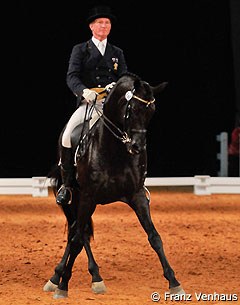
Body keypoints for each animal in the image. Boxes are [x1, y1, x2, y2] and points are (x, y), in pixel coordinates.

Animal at [43, 72, 186, 298]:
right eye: (132, 109)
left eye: (152, 112)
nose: (137, 147)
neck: (114, 150)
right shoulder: (89, 197)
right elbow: (77, 240)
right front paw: (64, 286)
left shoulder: (137, 196)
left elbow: (154, 237)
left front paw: (174, 281)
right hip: (74, 197)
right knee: (78, 233)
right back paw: (81, 277)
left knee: (76, 230)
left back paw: (62, 276)